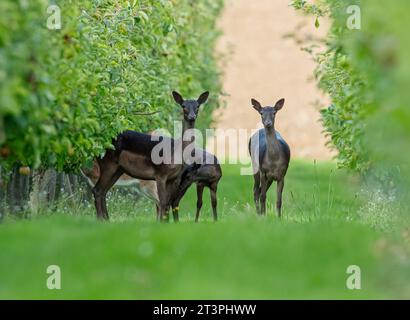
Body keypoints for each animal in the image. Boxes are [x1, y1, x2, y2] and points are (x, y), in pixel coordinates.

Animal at [91, 90, 210, 220]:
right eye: (183, 106)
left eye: (197, 106)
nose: (192, 116)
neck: (176, 152)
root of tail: (98, 144)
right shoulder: (160, 174)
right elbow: (163, 202)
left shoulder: (173, 178)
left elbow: (167, 204)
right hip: (108, 164)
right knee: (97, 190)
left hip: (118, 169)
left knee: (103, 191)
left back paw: (106, 220)